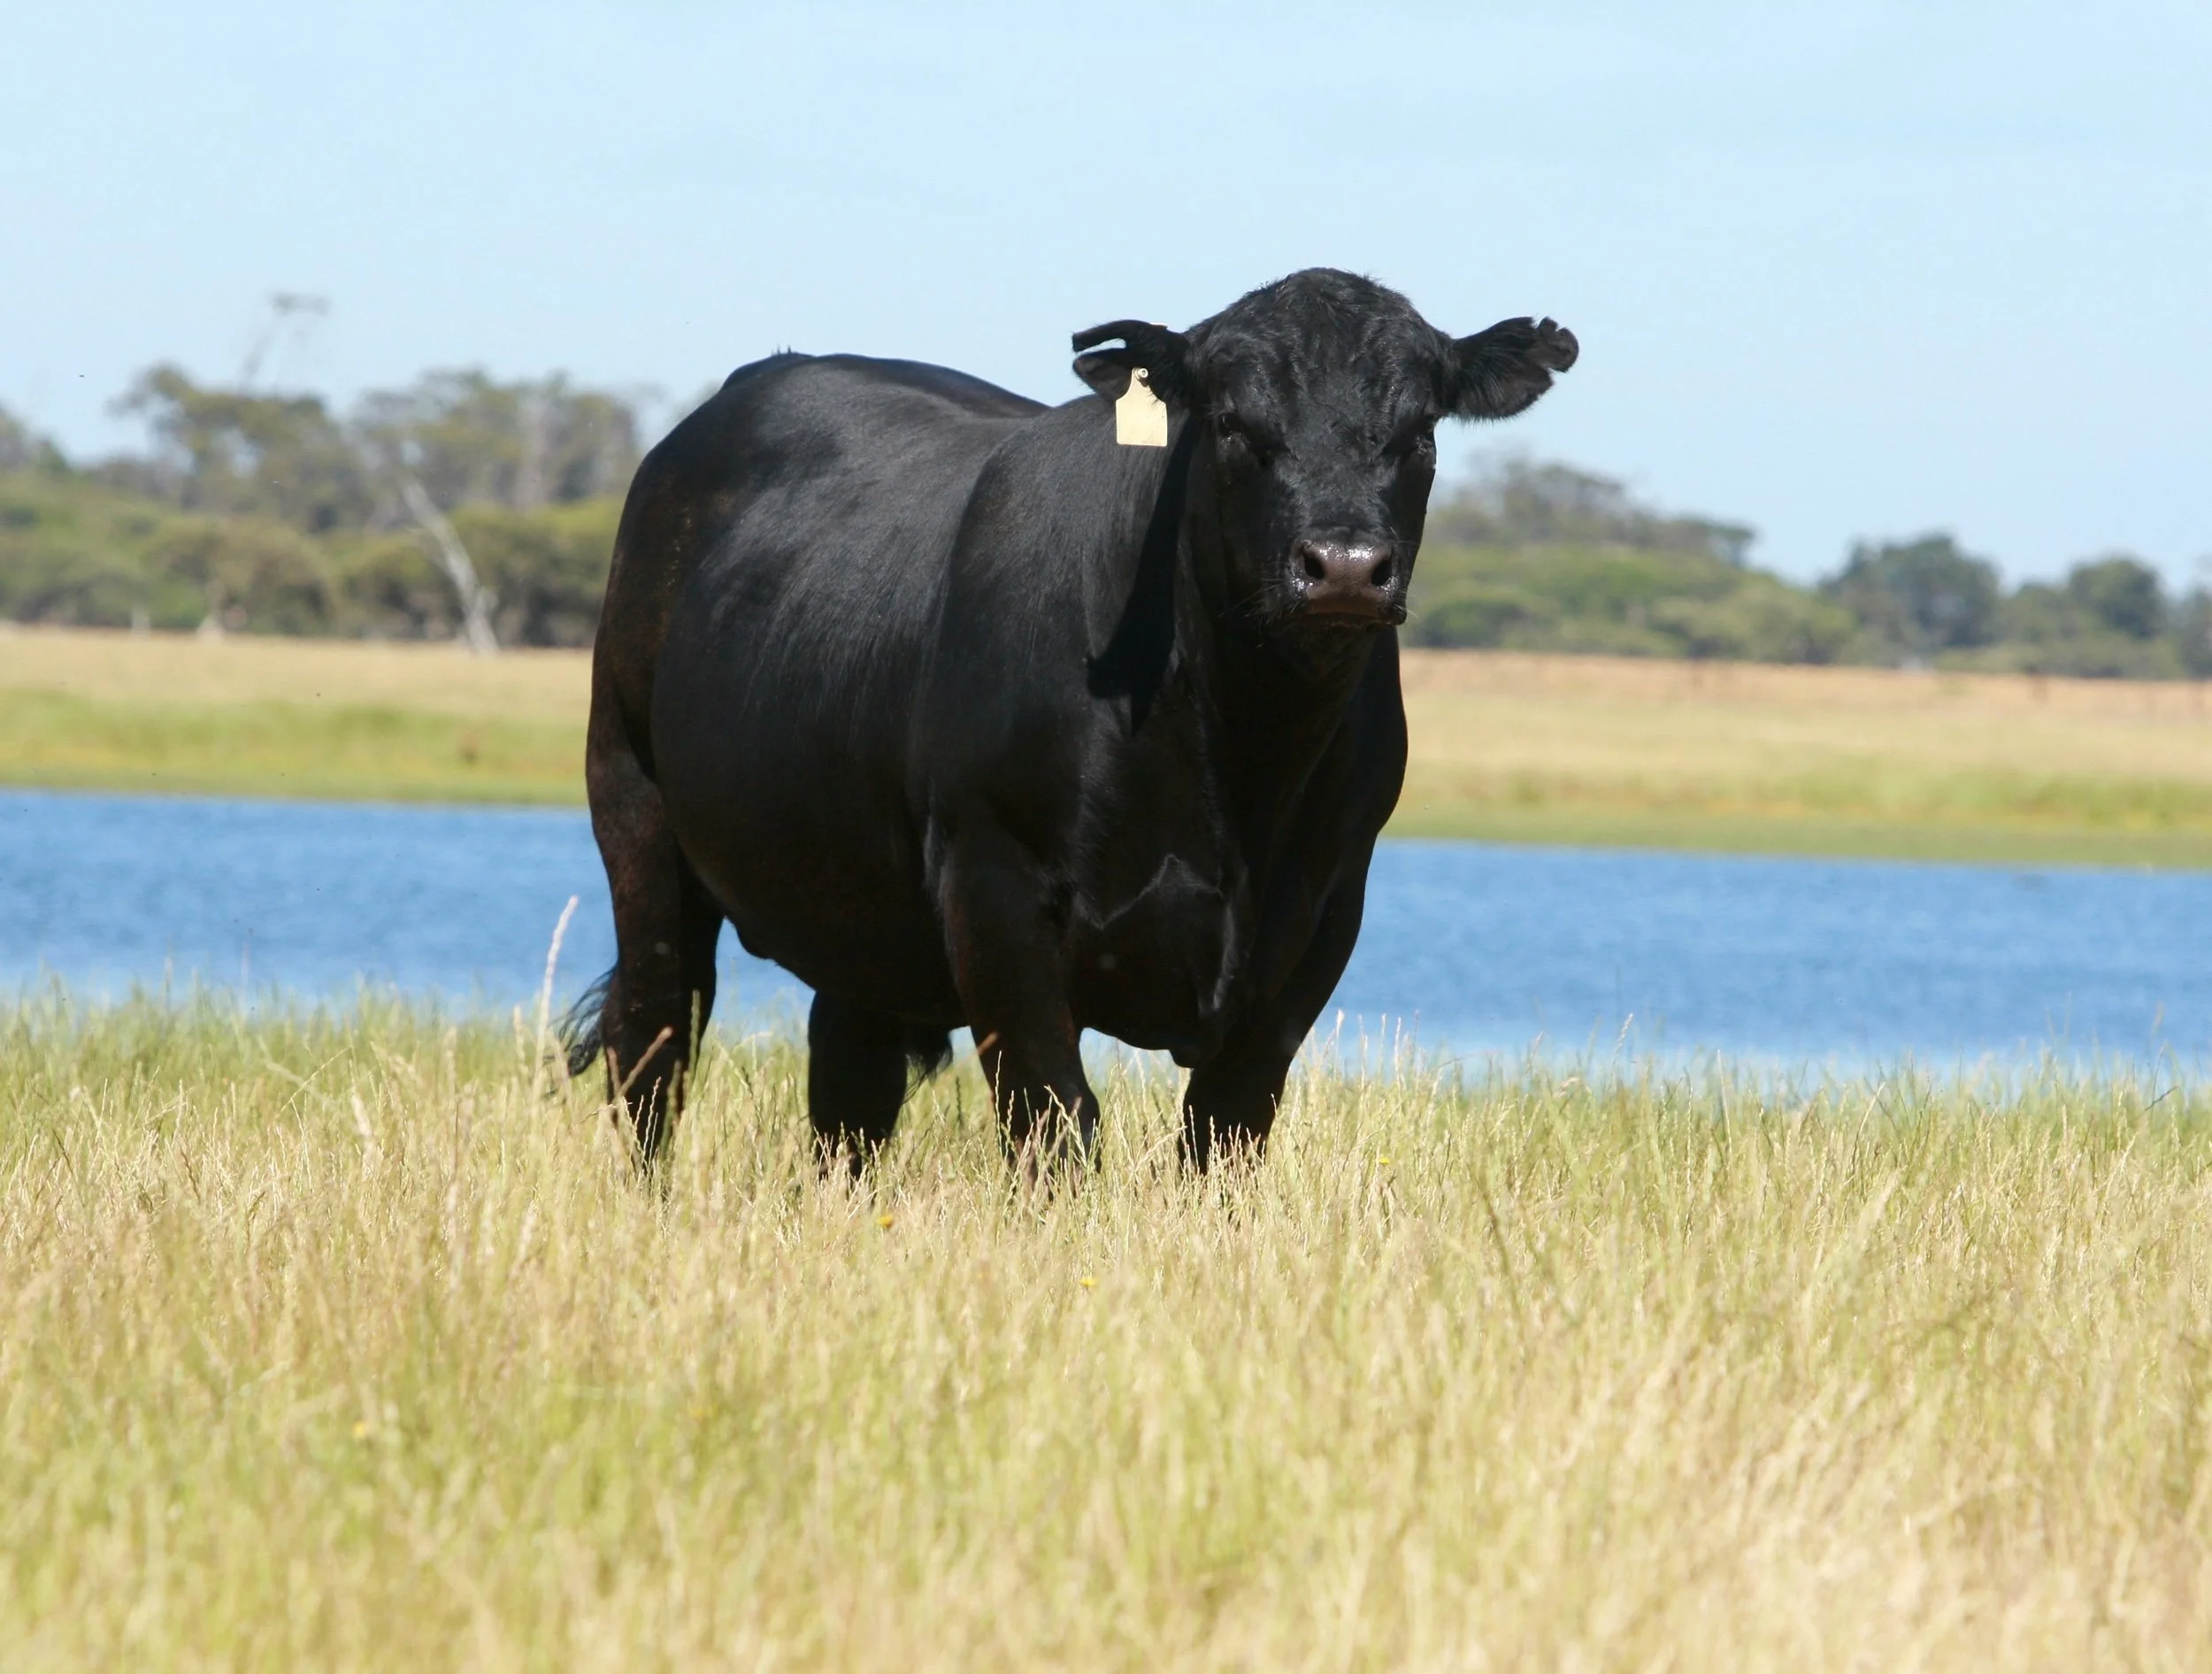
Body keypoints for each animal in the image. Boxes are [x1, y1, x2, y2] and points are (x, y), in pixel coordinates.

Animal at [565, 268, 1576, 1171]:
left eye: (1419, 433)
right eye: (1233, 423)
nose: (1344, 567)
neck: (1239, 763)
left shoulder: (1322, 912)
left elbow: (1225, 1129)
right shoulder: (993, 881)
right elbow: (1054, 1120)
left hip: (858, 900)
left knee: (848, 1086)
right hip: (632, 802)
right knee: (653, 1038)